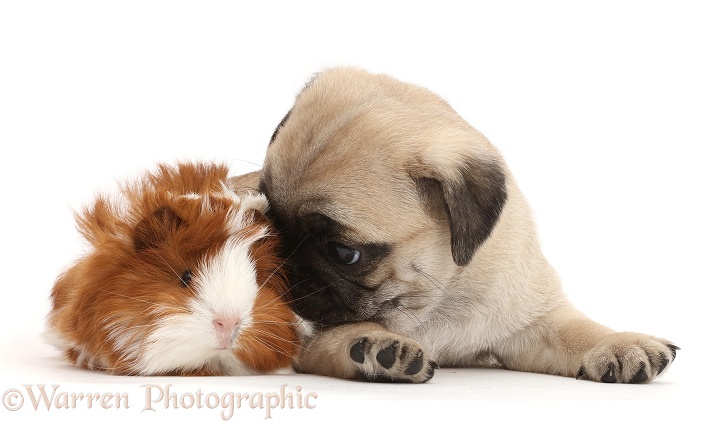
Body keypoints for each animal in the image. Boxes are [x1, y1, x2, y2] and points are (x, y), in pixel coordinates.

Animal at [232, 66, 676, 384]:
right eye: (266, 212)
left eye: (344, 253)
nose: (280, 258)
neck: (434, 299)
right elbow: (334, 334)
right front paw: (375, 345)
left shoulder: (531, 323)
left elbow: (575, 331)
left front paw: (619, 343)